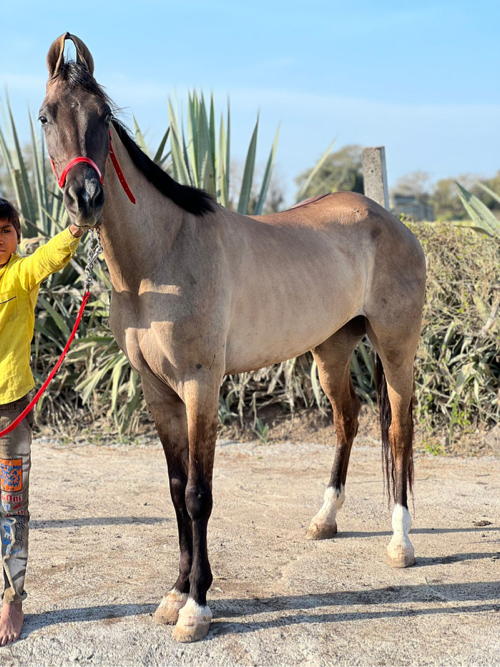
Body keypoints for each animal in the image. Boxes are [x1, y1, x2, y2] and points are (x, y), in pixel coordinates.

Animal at [40, 34, 426, 644]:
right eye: (45, 116)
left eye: (103, 117)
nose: (86, 199)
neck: (161, 257)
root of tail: (389, 218)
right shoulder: (158, 392)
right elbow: (175, 489)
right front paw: (175, 593)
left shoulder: (201, 386)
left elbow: (199, 495)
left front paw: (197, 607)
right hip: (331, 350)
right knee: (349, 419)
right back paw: (325, 519)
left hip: (395, 348)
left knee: (399, 429)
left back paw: (401, 542)